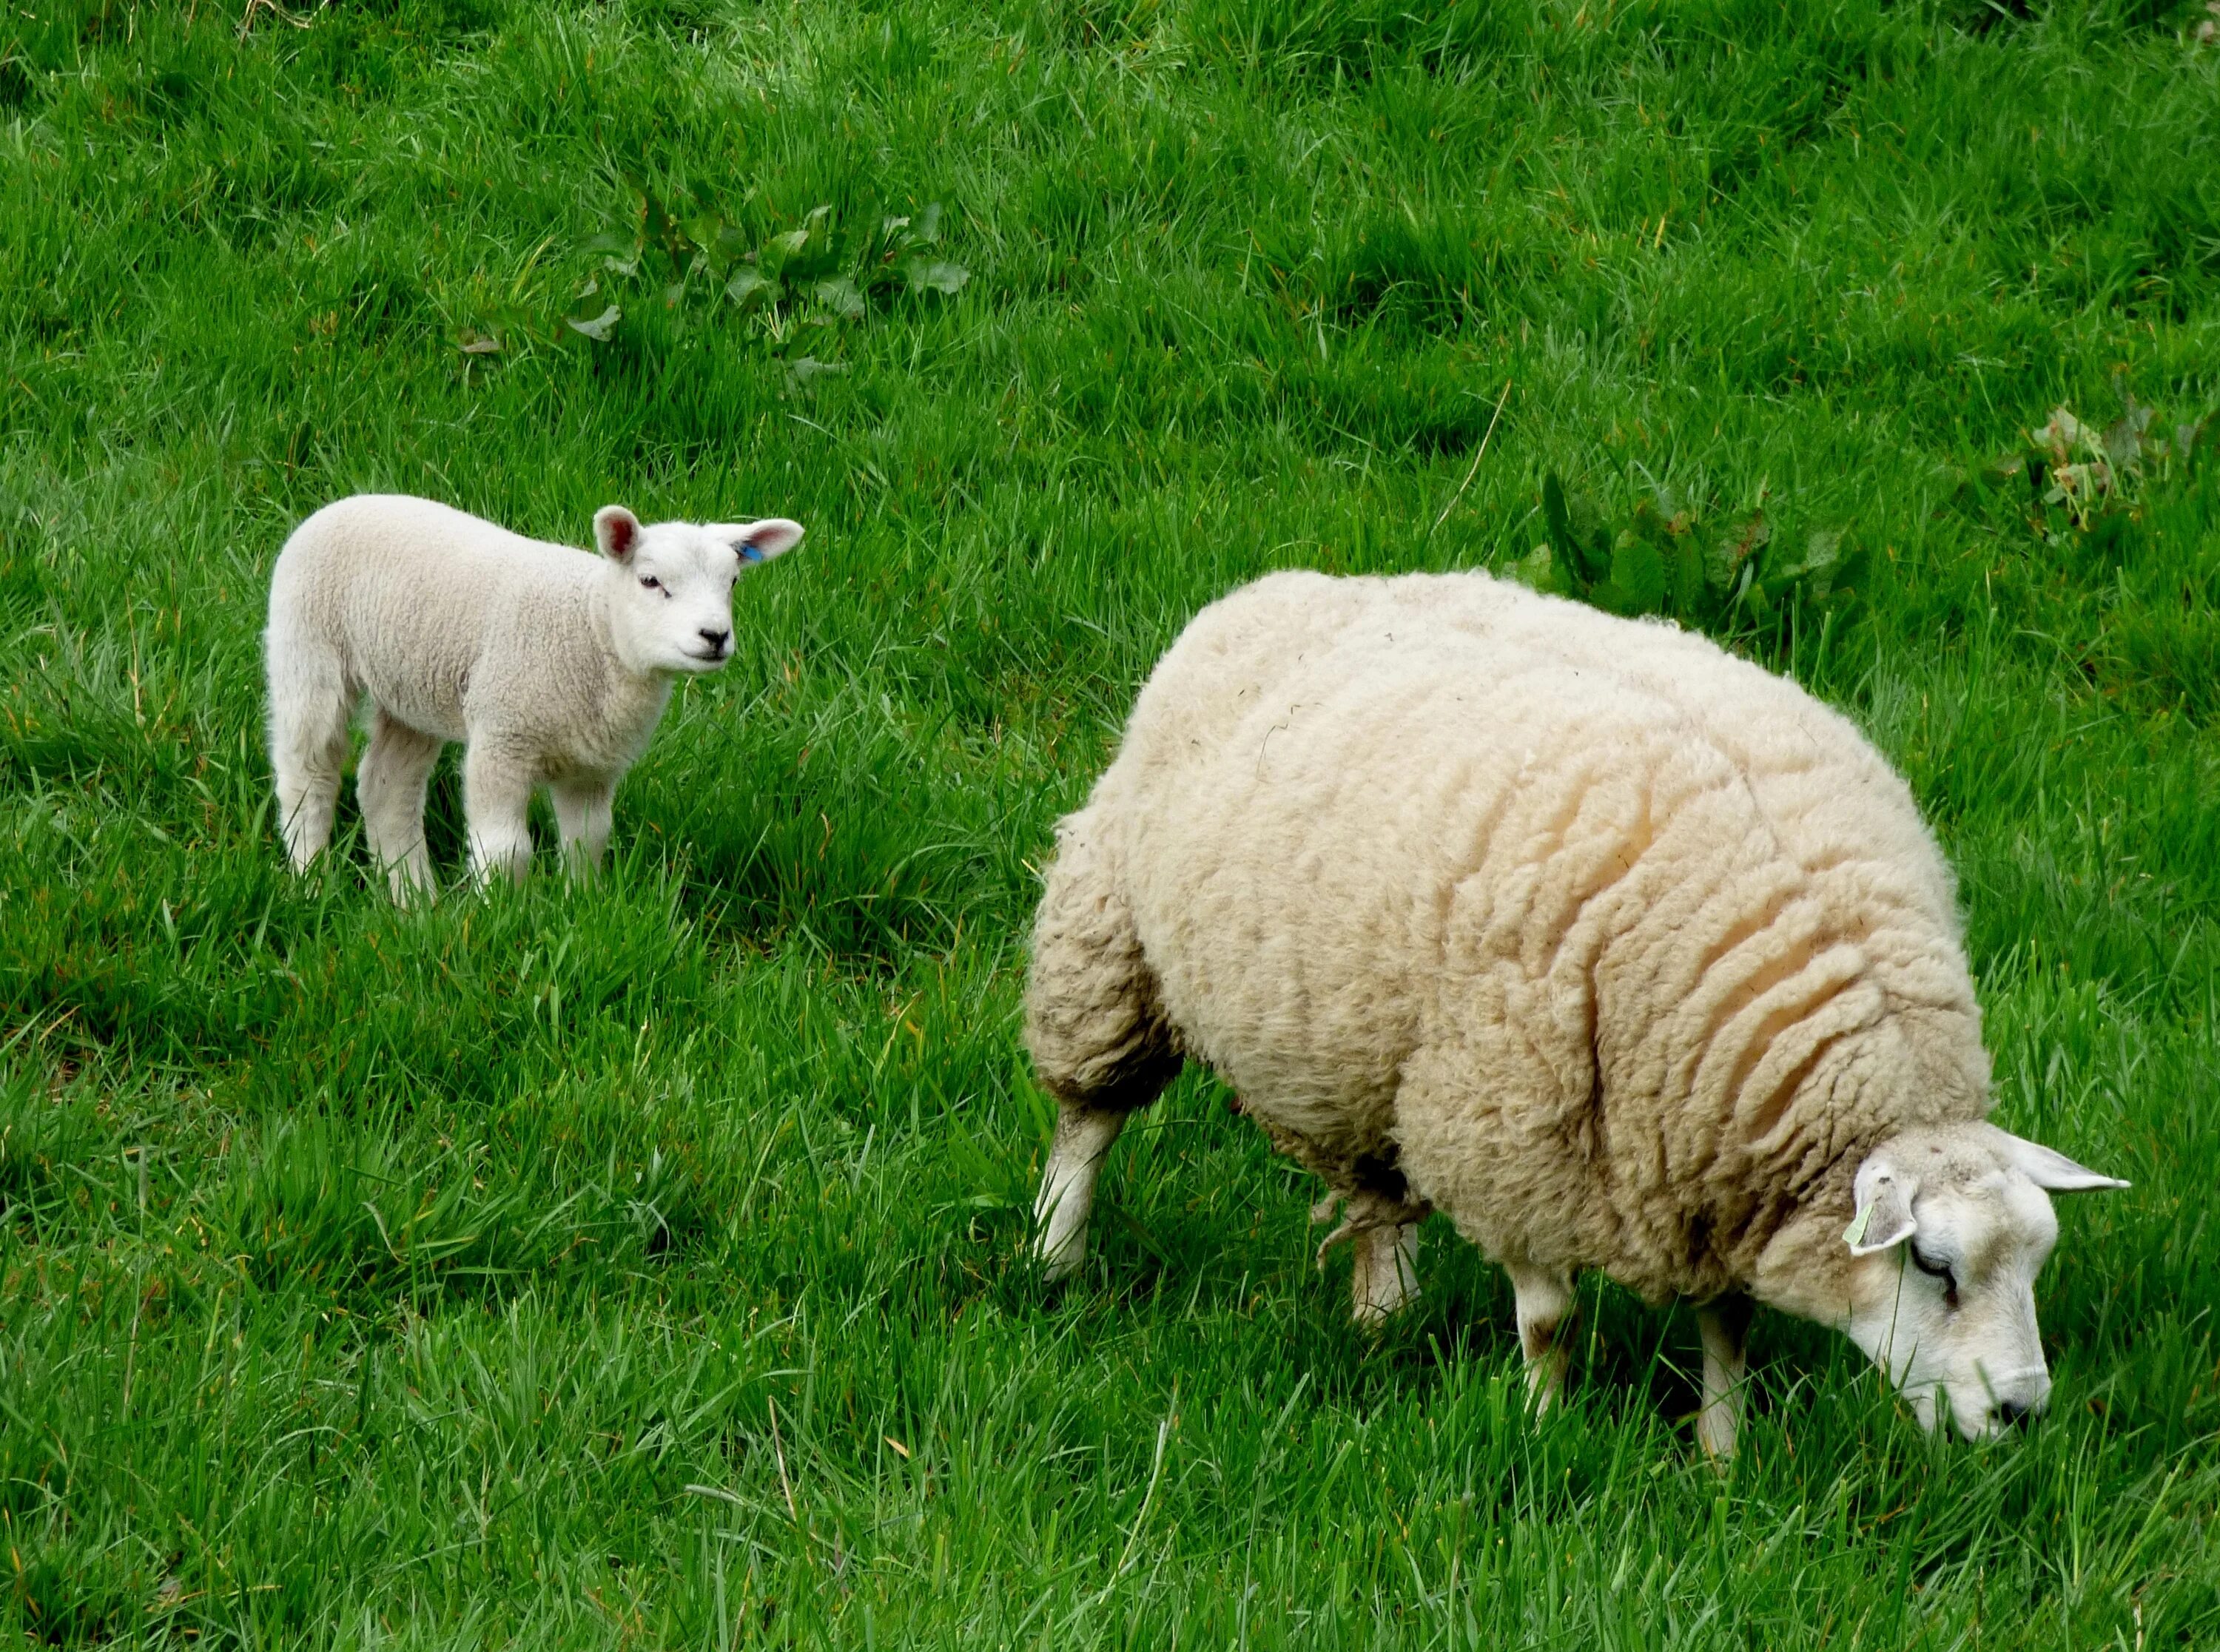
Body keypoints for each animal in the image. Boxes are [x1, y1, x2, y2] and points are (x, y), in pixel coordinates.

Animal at [266, 493, 808, 897]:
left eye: (732, 581)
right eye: (650, 581)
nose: (715, 636)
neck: (592, 628)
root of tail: (343, 502)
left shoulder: (592, 765)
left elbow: (588, 841)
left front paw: (582, 904)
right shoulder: (504, 735)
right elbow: (507, 851)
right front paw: (502, 917)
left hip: (409, 688)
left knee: (386, 788)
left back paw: (415, 903)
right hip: (307, 650)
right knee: (307, 774)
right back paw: (311, 881)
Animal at [1030, 573, 2122, 1456]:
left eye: (2038, 1259)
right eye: (1934, 1266)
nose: (2022, 1413)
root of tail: (1280, 585)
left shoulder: (1711, 1173)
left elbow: (1728, 1322)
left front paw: (1723, 1453)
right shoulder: (1517, 1138)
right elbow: (1549, 1321)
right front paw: (1543, 1431)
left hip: (1367, 1053)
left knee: (1376, 1191)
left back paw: (1385, 1318)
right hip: (1108, 935)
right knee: (1089, 1117)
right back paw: (1054, 1261)